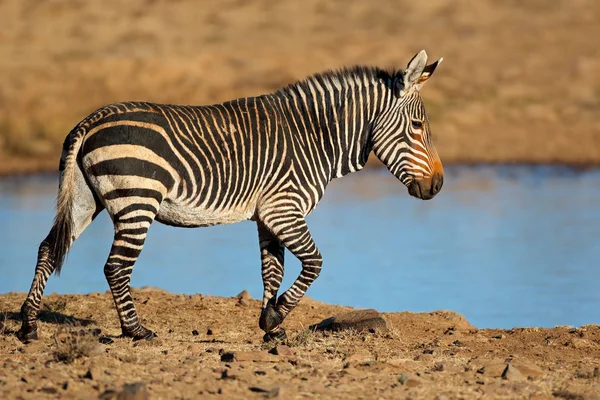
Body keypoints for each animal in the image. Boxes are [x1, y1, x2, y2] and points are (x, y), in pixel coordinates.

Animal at [17, 50, 446, 344]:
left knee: (48, 248)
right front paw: (274, 319)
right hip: (138, 201)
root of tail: (93, 119)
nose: (439, 186)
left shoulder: (269, 215)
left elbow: (273, 270)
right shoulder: (285, 209)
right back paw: (136, 331)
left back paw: (29, 324)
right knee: (115, 267)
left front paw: (270, 327)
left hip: (86, 198)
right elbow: (314, 264)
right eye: (417, 125)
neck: (313, 137)